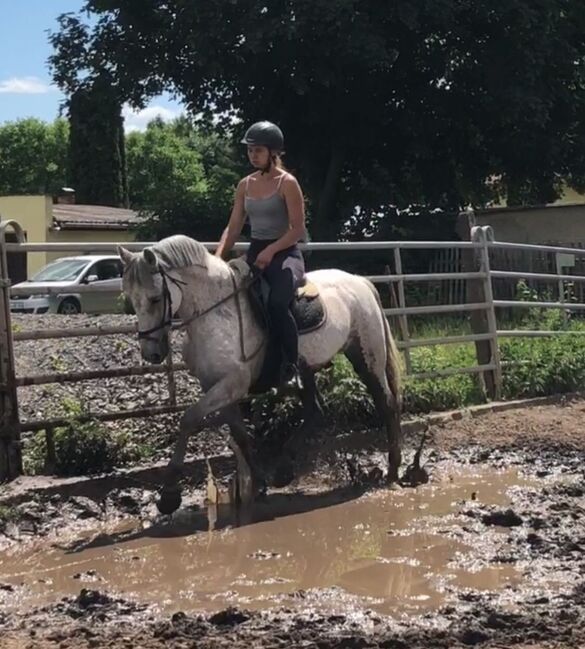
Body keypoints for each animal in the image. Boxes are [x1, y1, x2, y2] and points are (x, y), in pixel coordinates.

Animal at [118, 235, 402, 512]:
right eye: (131, 299)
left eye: (155, 298)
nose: (152, 353)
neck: (214, 313)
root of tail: (360, 282)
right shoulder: (217, 386)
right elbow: (241, 436)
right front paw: (258, 483)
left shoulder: (232, 383)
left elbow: (188, 419)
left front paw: (169, 495)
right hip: (306, 370)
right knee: (315, 411)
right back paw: (284, 470)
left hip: (367, 356)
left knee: (386, 403)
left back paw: (393, 470)